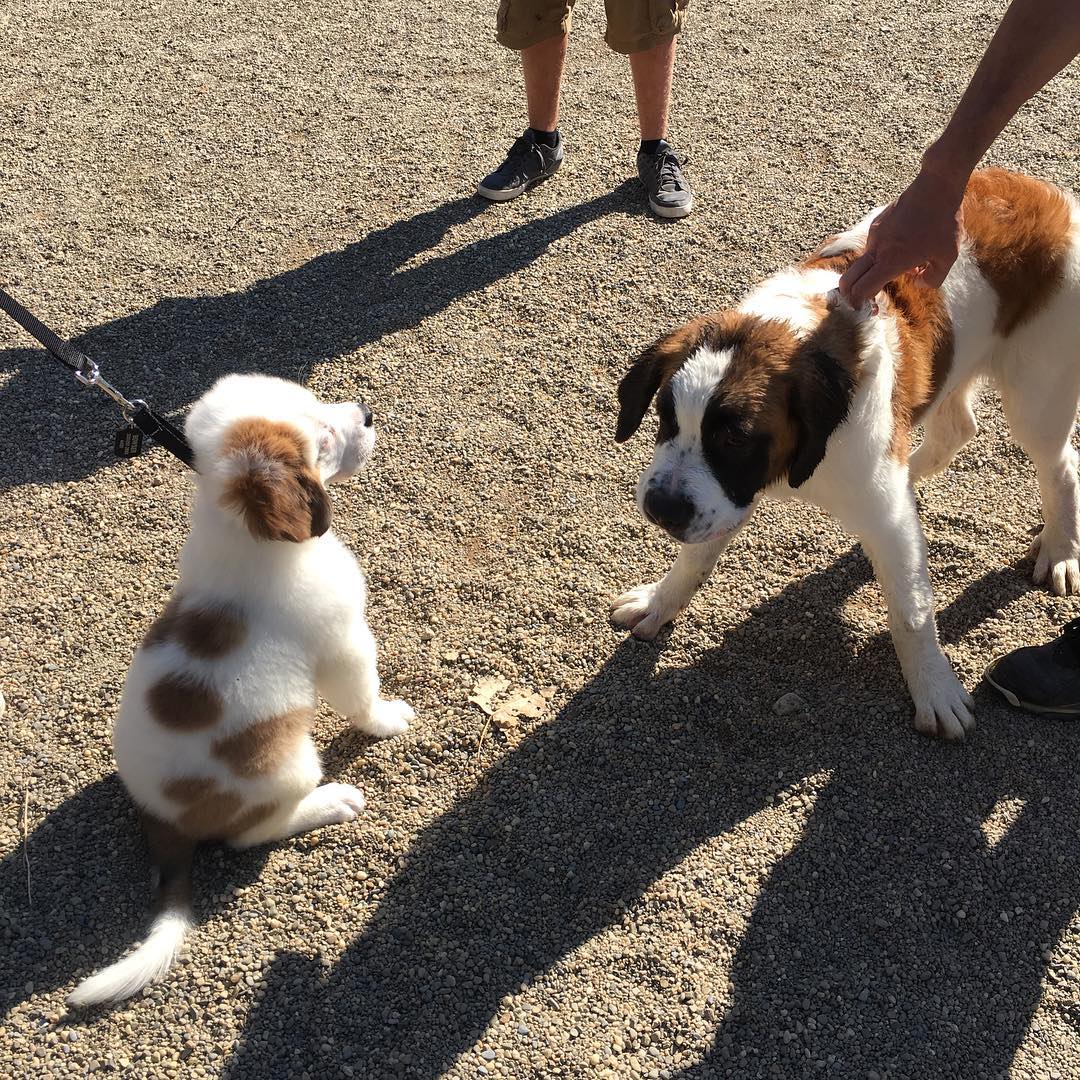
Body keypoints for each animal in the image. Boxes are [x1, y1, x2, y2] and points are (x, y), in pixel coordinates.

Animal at [68, 374, 414, 1007]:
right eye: (323, 437)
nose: (368, 413)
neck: (246, 537)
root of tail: (162, 821)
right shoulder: (344, 644)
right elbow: (363, 696)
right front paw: (388, 720)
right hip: (287, 765)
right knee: (249, 837)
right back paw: (331, 803)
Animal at [612, 168, 1080, 741]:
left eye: (734, 438)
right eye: (666, 417)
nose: (660, 509)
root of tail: (1046, 193)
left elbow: (911, 614)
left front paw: (934, 689)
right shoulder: (725, 497)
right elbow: (695, 557)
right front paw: (660, 602)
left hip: (1038, 396)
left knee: (1060, 466)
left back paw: (1060, 547)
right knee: (955, 432)